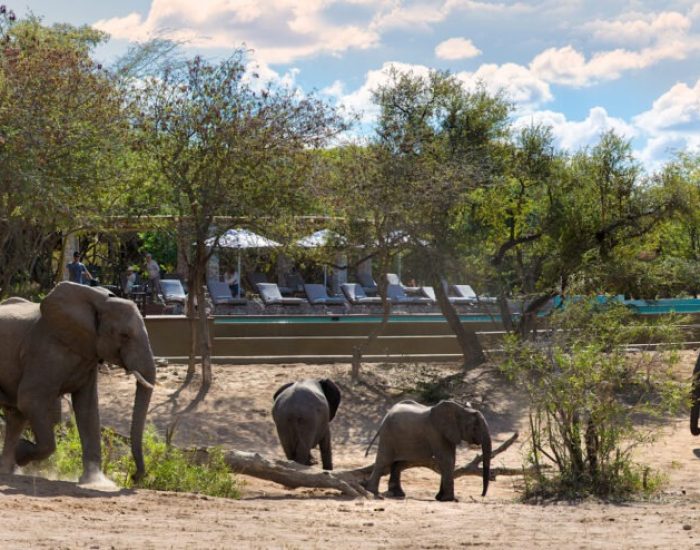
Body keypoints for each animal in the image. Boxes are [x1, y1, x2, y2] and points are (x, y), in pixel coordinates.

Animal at [0, 281, 156, 484]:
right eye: (124, 335)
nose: (135, 477)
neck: (99, 300)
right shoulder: (45, 350)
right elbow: (30, 400)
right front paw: (21, 451)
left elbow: (88, 408)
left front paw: (96, 482)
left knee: (15, 416)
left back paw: (8, 470)